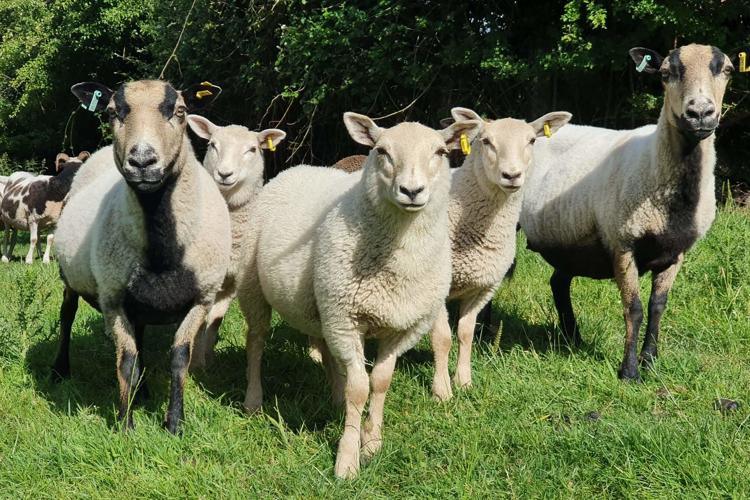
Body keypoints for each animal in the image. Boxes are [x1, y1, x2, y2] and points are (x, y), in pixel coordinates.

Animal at [51, 79, 231, 433]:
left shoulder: (201, 299)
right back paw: (60, 370)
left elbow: (179, 358)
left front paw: (175, 423)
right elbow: (126, 361)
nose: (143, 161)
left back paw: (145, 390)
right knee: (67, 316)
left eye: (180, 111)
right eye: (111, 113)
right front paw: (125, 423)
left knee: (143, 337)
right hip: (72, 278)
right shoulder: (113, 298)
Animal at [184, 115, 286, 370]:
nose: (224, 174)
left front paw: (208, 360)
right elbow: (201, 320)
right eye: (212, 145)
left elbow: (215, 319)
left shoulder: (232, 281)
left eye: (252, 149)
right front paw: (195, 364)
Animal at [237, 112, 482, 478]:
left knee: (323, 348)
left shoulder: (401, 327)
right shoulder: (347, 320)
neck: (398, 260)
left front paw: (372, 442)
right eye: (381, 151)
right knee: (256, 342)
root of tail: (296, 168)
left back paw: (335, 398)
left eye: (440, 152)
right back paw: (254, 400)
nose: (411, 191)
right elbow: (359, 389)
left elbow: (379, 382)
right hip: (255, 288)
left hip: (322, 304)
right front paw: (348, 460)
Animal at [430, 107, 572, 400]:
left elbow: (465, 333)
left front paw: (464, 382)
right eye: (485, 141)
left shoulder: (484, 287)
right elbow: (442, 337)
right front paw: (442, 392)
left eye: (532, 140)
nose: (512, 175)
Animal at [519, 44, 733, 381]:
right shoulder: (622, 243)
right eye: (665, 74)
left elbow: (658, 306)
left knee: (558, 282)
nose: (700, 113)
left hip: (570, 239)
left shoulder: (676, 251)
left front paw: (650, 361)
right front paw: (630, 371)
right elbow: (633, 308)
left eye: (727, 71)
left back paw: (572, 337)